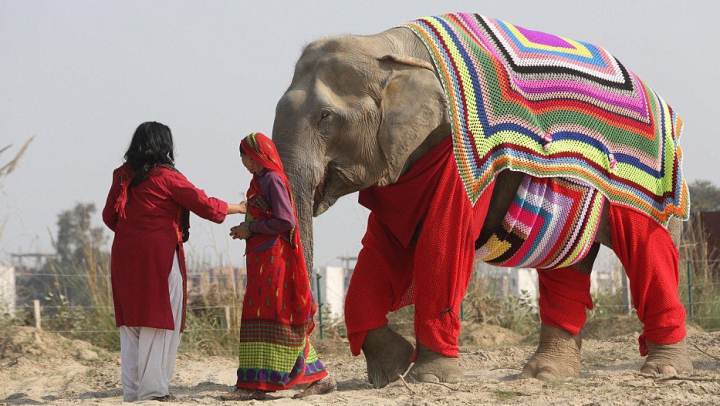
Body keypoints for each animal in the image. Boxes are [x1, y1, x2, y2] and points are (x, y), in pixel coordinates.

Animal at [270, 12, 692, 386]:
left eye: (326, 118)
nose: (317, 382)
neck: (386, 44)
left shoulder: (459, 154)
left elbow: (443, 239)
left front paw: (431, 379)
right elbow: (382, 244)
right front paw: (392, 372)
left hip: (651, 184)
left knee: (649, 251)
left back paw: (663, 371)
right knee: (567, 266)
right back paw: (545, 375)